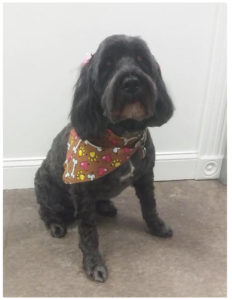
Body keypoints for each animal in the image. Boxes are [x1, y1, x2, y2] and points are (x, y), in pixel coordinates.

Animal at [34, 34, 174, 282]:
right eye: (108, 65)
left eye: (141, 60)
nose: (131, 82)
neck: (123, 139)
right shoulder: (82, 192)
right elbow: (88, 230)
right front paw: (93, 263)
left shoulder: (146, 176)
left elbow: (149, 205)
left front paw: (157, 227)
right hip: (50, 193)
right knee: (46, 211)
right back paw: (56, 225)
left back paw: (106, 206)